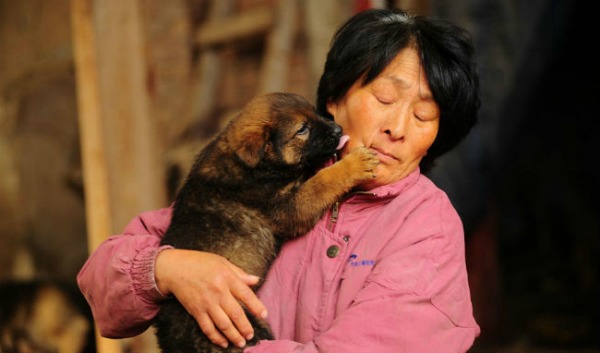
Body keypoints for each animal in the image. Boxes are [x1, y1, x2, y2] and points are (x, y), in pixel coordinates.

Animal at [155, 92, 380, 350]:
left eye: (315, 112)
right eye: (302, 129)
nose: (338, 128)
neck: (256, 164)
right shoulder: (288, 207)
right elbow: (322, 181)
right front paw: (354, 164)